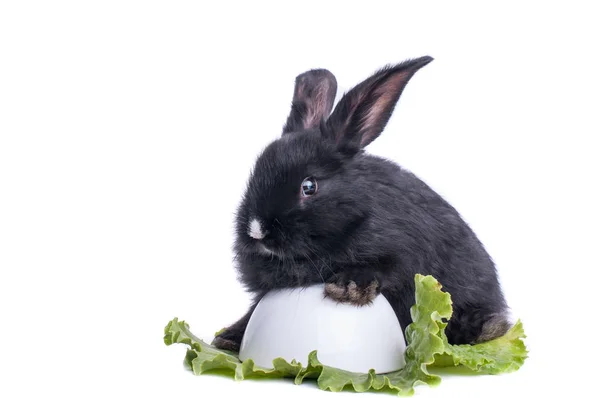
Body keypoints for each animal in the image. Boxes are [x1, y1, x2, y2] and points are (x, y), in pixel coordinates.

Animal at [211, 56, 510, 352]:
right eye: (255, 175)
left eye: (309, 186)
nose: (257, 231)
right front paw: (228, 337)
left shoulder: (404, 253)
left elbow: (384, 268)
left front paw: (348, 288)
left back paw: (486, 328)